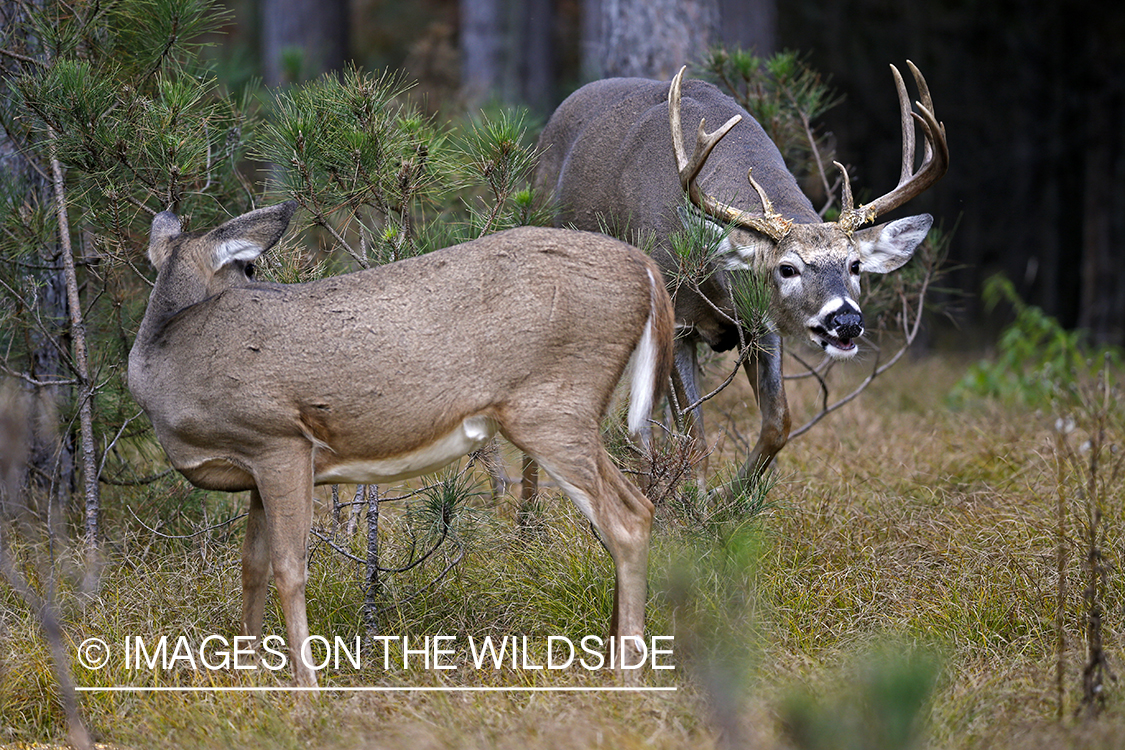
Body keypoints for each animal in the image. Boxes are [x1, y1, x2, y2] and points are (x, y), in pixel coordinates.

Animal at [131, 201, 675, 688]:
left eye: (248, 265)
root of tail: (647, 270)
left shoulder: (278, 441)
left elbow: (289, 570)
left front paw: (305, 691)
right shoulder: (254, 471)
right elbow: (252, 568)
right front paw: (247, 677)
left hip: (551, 408)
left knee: (627, 520)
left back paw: (626, 677)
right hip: (567, 413)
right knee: (637, 509)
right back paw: (611, 661)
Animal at [535, 62, 949, 492]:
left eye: (854, 265)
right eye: (787, 268)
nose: (847, 320)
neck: (717, 290)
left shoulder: (760, 323)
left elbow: (778, 421)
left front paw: (730, 494)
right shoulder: (676, 320)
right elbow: (696, 435)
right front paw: (697, 499)